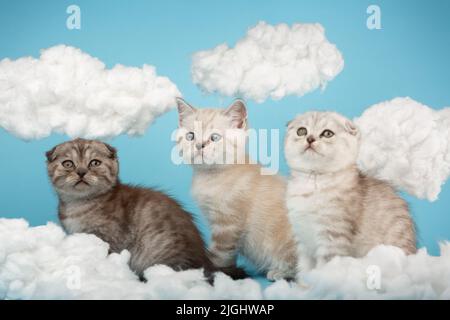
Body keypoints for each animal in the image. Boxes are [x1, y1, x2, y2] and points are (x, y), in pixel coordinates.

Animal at [45, 138, 246, 280]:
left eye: (94, 163)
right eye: (68, 163)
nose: (81, 172)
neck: (79, 204)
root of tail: (206, 262)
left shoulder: (110, 239)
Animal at [176, 97, 298, 280]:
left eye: (215, 137)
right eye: (190, 136)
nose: (199, 145)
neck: (210, 176)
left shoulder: (227, 225)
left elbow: (218, 255)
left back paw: (279, 272)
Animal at [284, 110, 416, 272]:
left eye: (327, 133)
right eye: (302, 131)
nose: (310, 139)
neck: (313, 181)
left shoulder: (332, 237)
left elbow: (324, 267)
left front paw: (317, 278)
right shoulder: (302, 239)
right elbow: (304, 267)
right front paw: (304, 279)